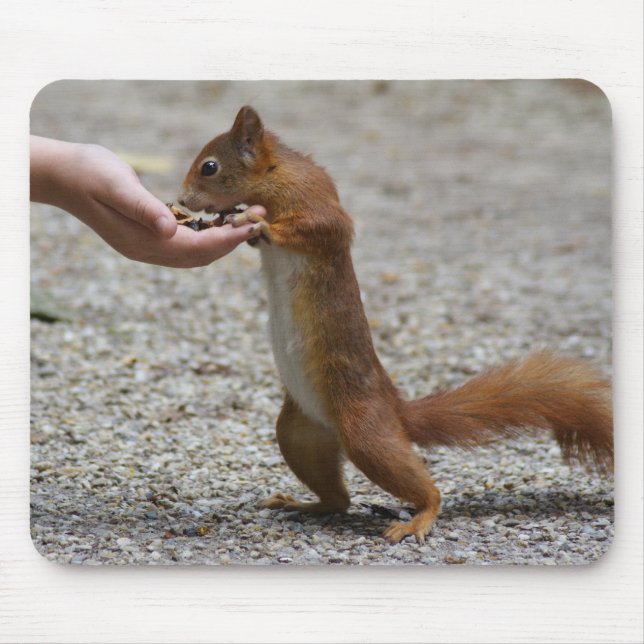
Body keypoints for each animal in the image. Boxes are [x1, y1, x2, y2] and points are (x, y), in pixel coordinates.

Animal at [178, 106, 613, 543]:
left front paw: (256, 222)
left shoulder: (316, 203)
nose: (181, 201)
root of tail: (394, 409)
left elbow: (318, 228)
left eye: (210, 167)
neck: (276, 174)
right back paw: (301, 504)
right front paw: (231, 221)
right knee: (338, 500)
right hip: (298, 436)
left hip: (365, 436)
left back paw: (418, 518)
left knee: (420, 489)